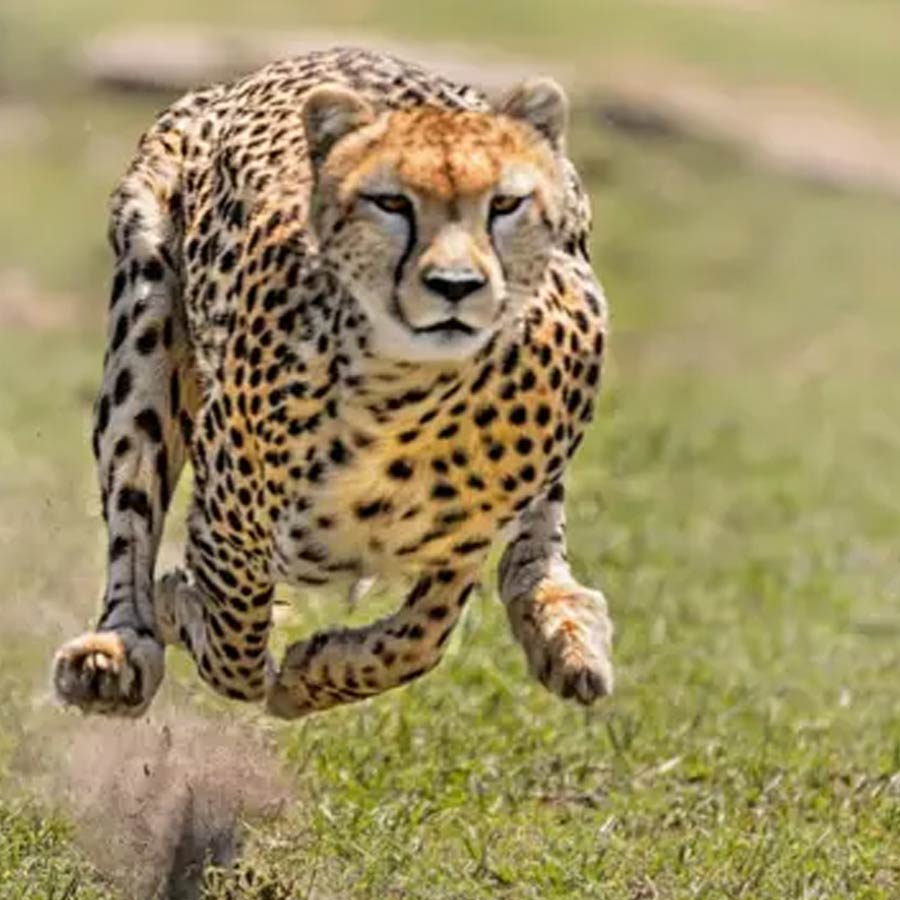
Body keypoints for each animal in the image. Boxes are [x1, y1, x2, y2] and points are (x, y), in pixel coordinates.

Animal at [52, 47, 614, 719]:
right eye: (391, 203)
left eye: (504, 205)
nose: (455, 285)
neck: (411, 400)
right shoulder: (229, 517)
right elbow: (234, 643)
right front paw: (182, 609)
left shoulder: (464, 540)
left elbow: (420, 638)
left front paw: (315, 673)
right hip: (145, 318)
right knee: (131, 508)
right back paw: (115, 650)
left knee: (539, 536)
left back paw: (565, 629)